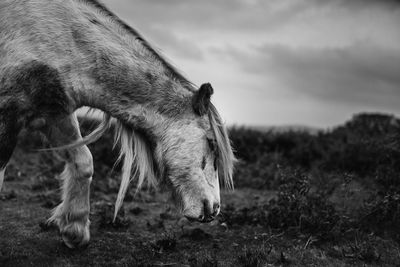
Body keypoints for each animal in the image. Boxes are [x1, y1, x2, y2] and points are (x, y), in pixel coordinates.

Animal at [0, 0, 236, 249]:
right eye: (211, 143)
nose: (214, 209)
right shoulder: (8, 115)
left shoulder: (56, 113)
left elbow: (84, 162)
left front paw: (74, 230)